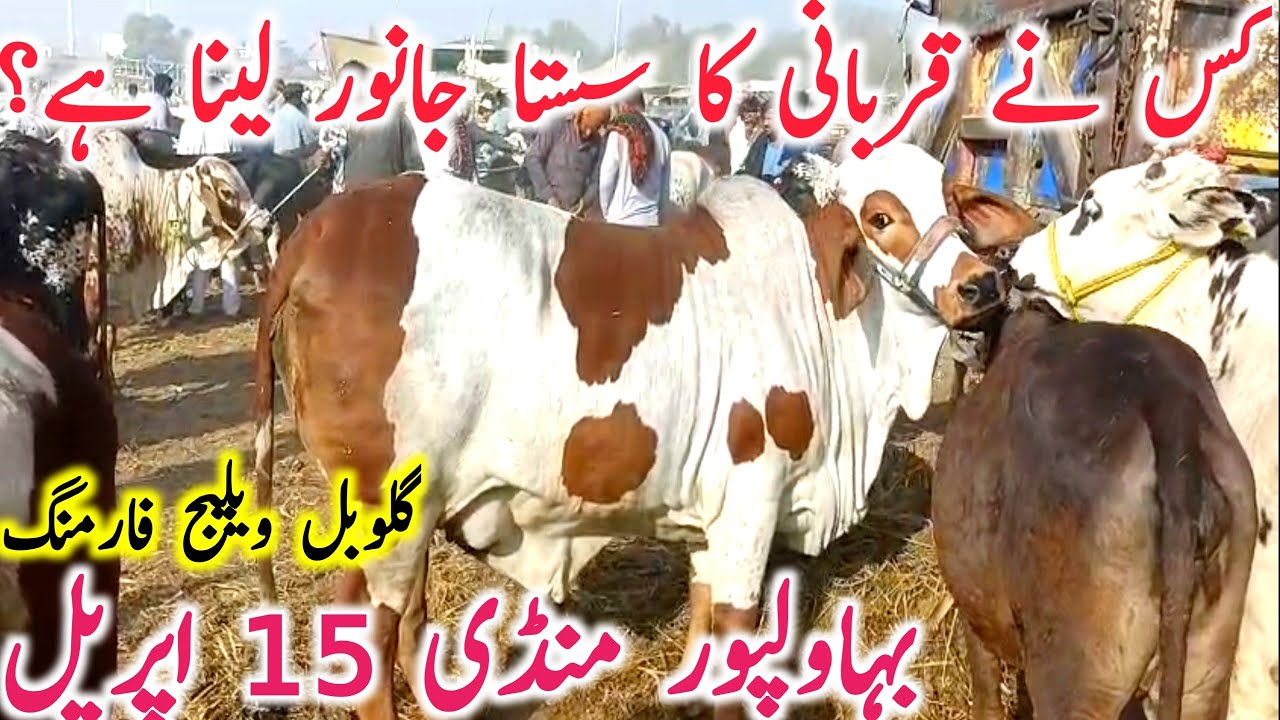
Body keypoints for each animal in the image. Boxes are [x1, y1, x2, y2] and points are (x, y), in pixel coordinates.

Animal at [250, 142, 1035, 720]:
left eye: (953, 205)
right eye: (878, 216)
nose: (981, 285)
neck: (820, 311)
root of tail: (317, 232)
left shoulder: (715, 514)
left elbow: (703, 618)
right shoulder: (753, 500)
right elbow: (737, 630)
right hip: (393, 508)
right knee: (381, 635)